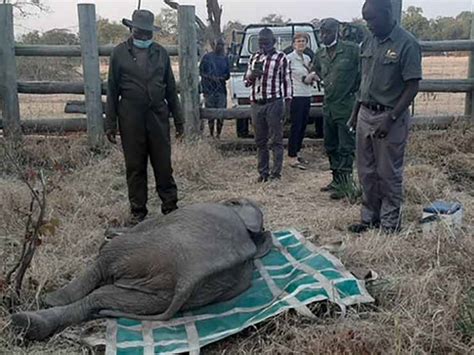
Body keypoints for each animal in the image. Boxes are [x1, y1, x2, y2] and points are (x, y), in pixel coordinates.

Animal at [10, 200, 270, 342]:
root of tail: (189, 275)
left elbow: (140, 226)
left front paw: (109, 233)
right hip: (165, 294)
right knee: (104, 298)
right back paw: (30, 323)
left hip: (143, 251)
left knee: (103, 263)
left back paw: (44, 304)